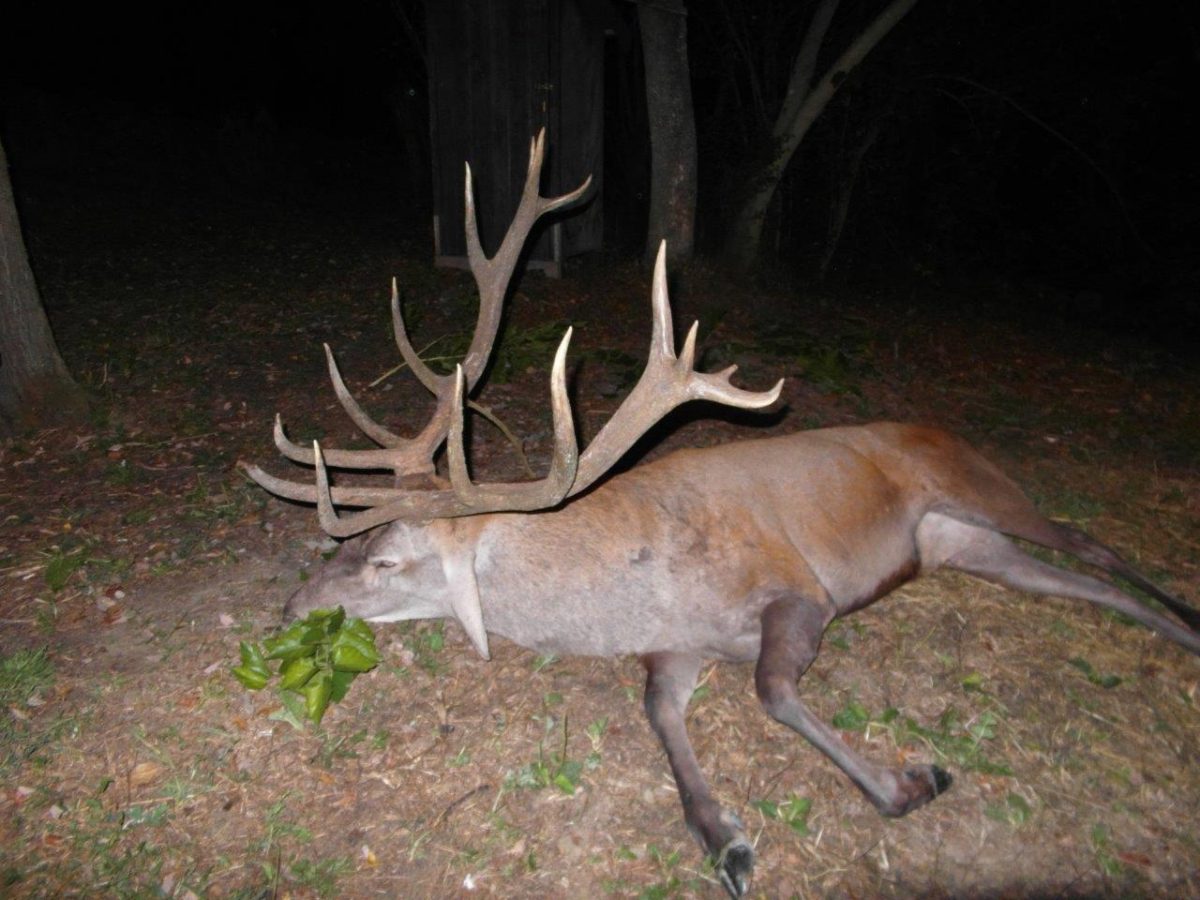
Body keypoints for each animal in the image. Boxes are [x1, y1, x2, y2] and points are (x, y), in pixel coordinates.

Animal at [243, 131, 1200, 898]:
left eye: (383, 558)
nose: (289, 607)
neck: (636, 593)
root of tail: (942, 430)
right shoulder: (675, 649)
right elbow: (659, 714)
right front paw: (727, 841)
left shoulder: (797, 591)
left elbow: (773, 690)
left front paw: (912, 781)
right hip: (962, 546)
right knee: (1085, 581)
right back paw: (1176, 630)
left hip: (976, 484)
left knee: (1095, 545)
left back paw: (1184, 614)